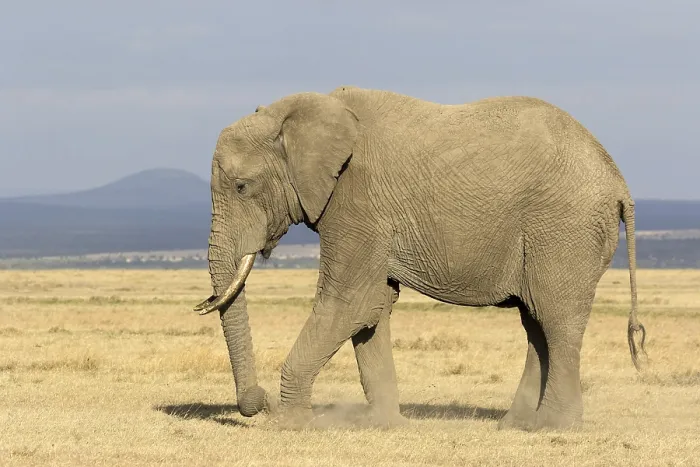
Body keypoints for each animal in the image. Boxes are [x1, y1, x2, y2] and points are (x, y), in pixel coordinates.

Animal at [193, 85, 647, 431]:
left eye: (242, 186)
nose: (258, 401)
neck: (298, 112)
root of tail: (619, 183)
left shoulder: (358, 201)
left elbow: (349, 301)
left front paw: (292, 425)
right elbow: (373, 306)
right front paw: (382, 425)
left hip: (564, 229)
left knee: (556, 318)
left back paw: (552, 426)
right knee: (536, 323)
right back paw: (515, 424)